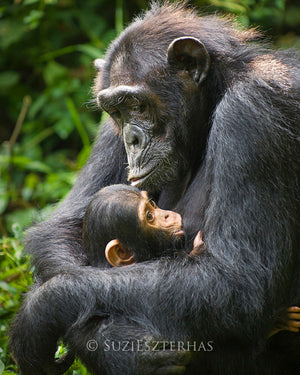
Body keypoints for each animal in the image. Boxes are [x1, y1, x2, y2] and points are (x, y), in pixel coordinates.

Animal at [8, 0, 298, 375]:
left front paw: (44, 307)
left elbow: (237, 279)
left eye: (137, 105)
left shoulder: (255, 110)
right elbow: (62, 228)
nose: (130, 137)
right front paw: (116, 345)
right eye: (115, 111)